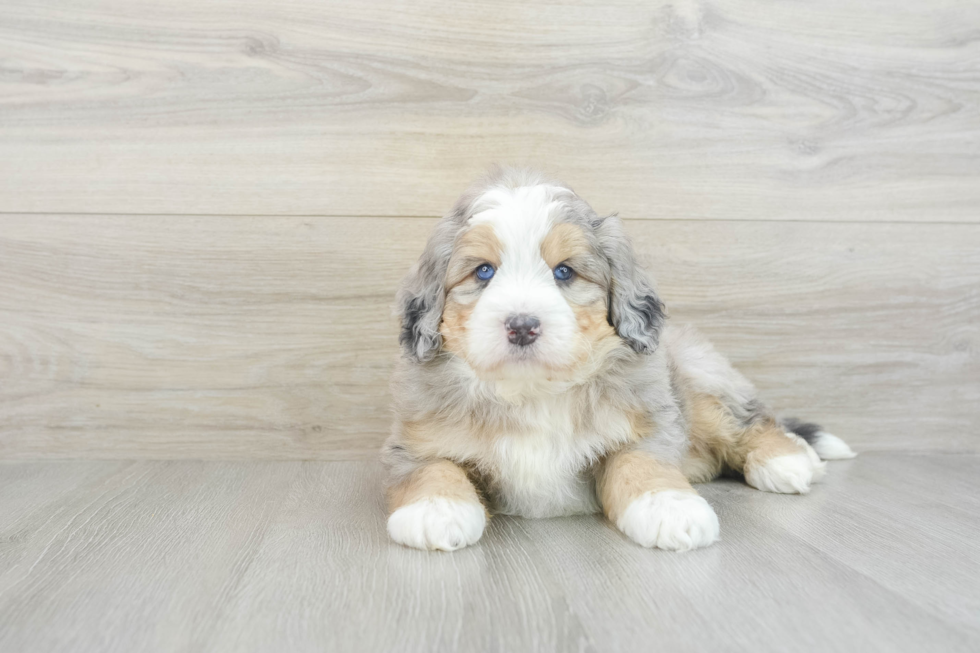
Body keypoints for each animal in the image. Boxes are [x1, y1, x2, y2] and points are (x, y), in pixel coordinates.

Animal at [378, 167, 852, 552]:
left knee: (752, 422)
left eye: (564, 272)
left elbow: (639, 462)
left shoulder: (647, 423)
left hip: (701, 382)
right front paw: (435, 511)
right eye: (483, 272)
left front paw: (669, 507)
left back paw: (789, 461)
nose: (522, 326)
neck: (532, 390)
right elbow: (431, 468)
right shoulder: (414, 440)